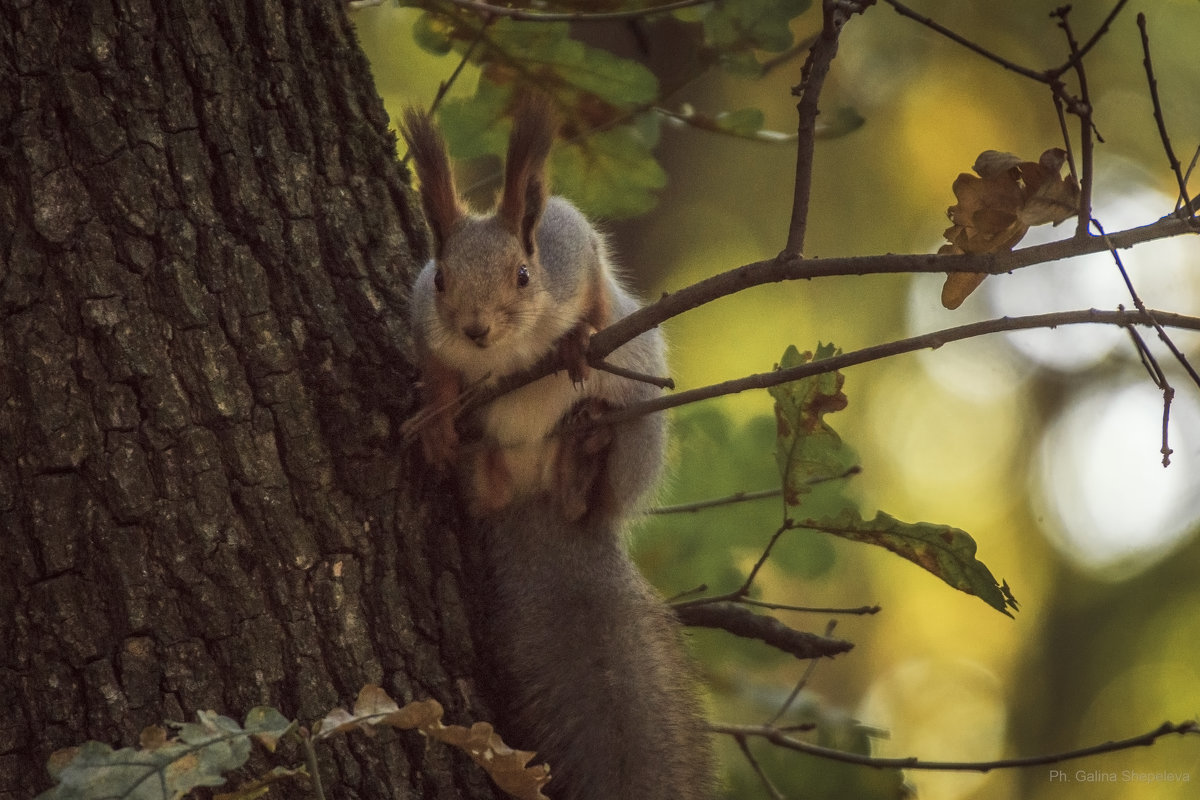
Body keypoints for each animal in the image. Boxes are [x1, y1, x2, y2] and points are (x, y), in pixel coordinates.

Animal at [398, 95, 715, 800]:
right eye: (441, 280)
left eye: (523, 274)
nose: (476, 330)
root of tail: (539, 497)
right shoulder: (425, 323)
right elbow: (435, 364)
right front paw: (435, 414)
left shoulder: (576, 251)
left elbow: (594, 294)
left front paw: (577, 340)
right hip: (494, 475)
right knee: (488, 491)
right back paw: (478, 460)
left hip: (639, 435)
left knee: (596, 495)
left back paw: (586, 450)